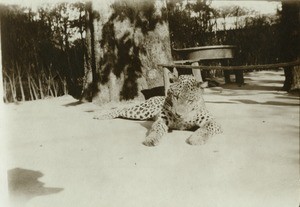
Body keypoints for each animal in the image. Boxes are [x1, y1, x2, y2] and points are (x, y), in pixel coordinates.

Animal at [94, 75, 223, 146]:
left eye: (190, 100)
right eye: (176, 96)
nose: (178, 114)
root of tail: (155, 96)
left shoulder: (212, 121)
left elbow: (206, 128)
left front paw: (196, 139)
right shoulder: (162, 120)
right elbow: (156, 129)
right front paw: (151, 139)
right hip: (143, 110)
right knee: (122, 109)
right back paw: (100, 115)